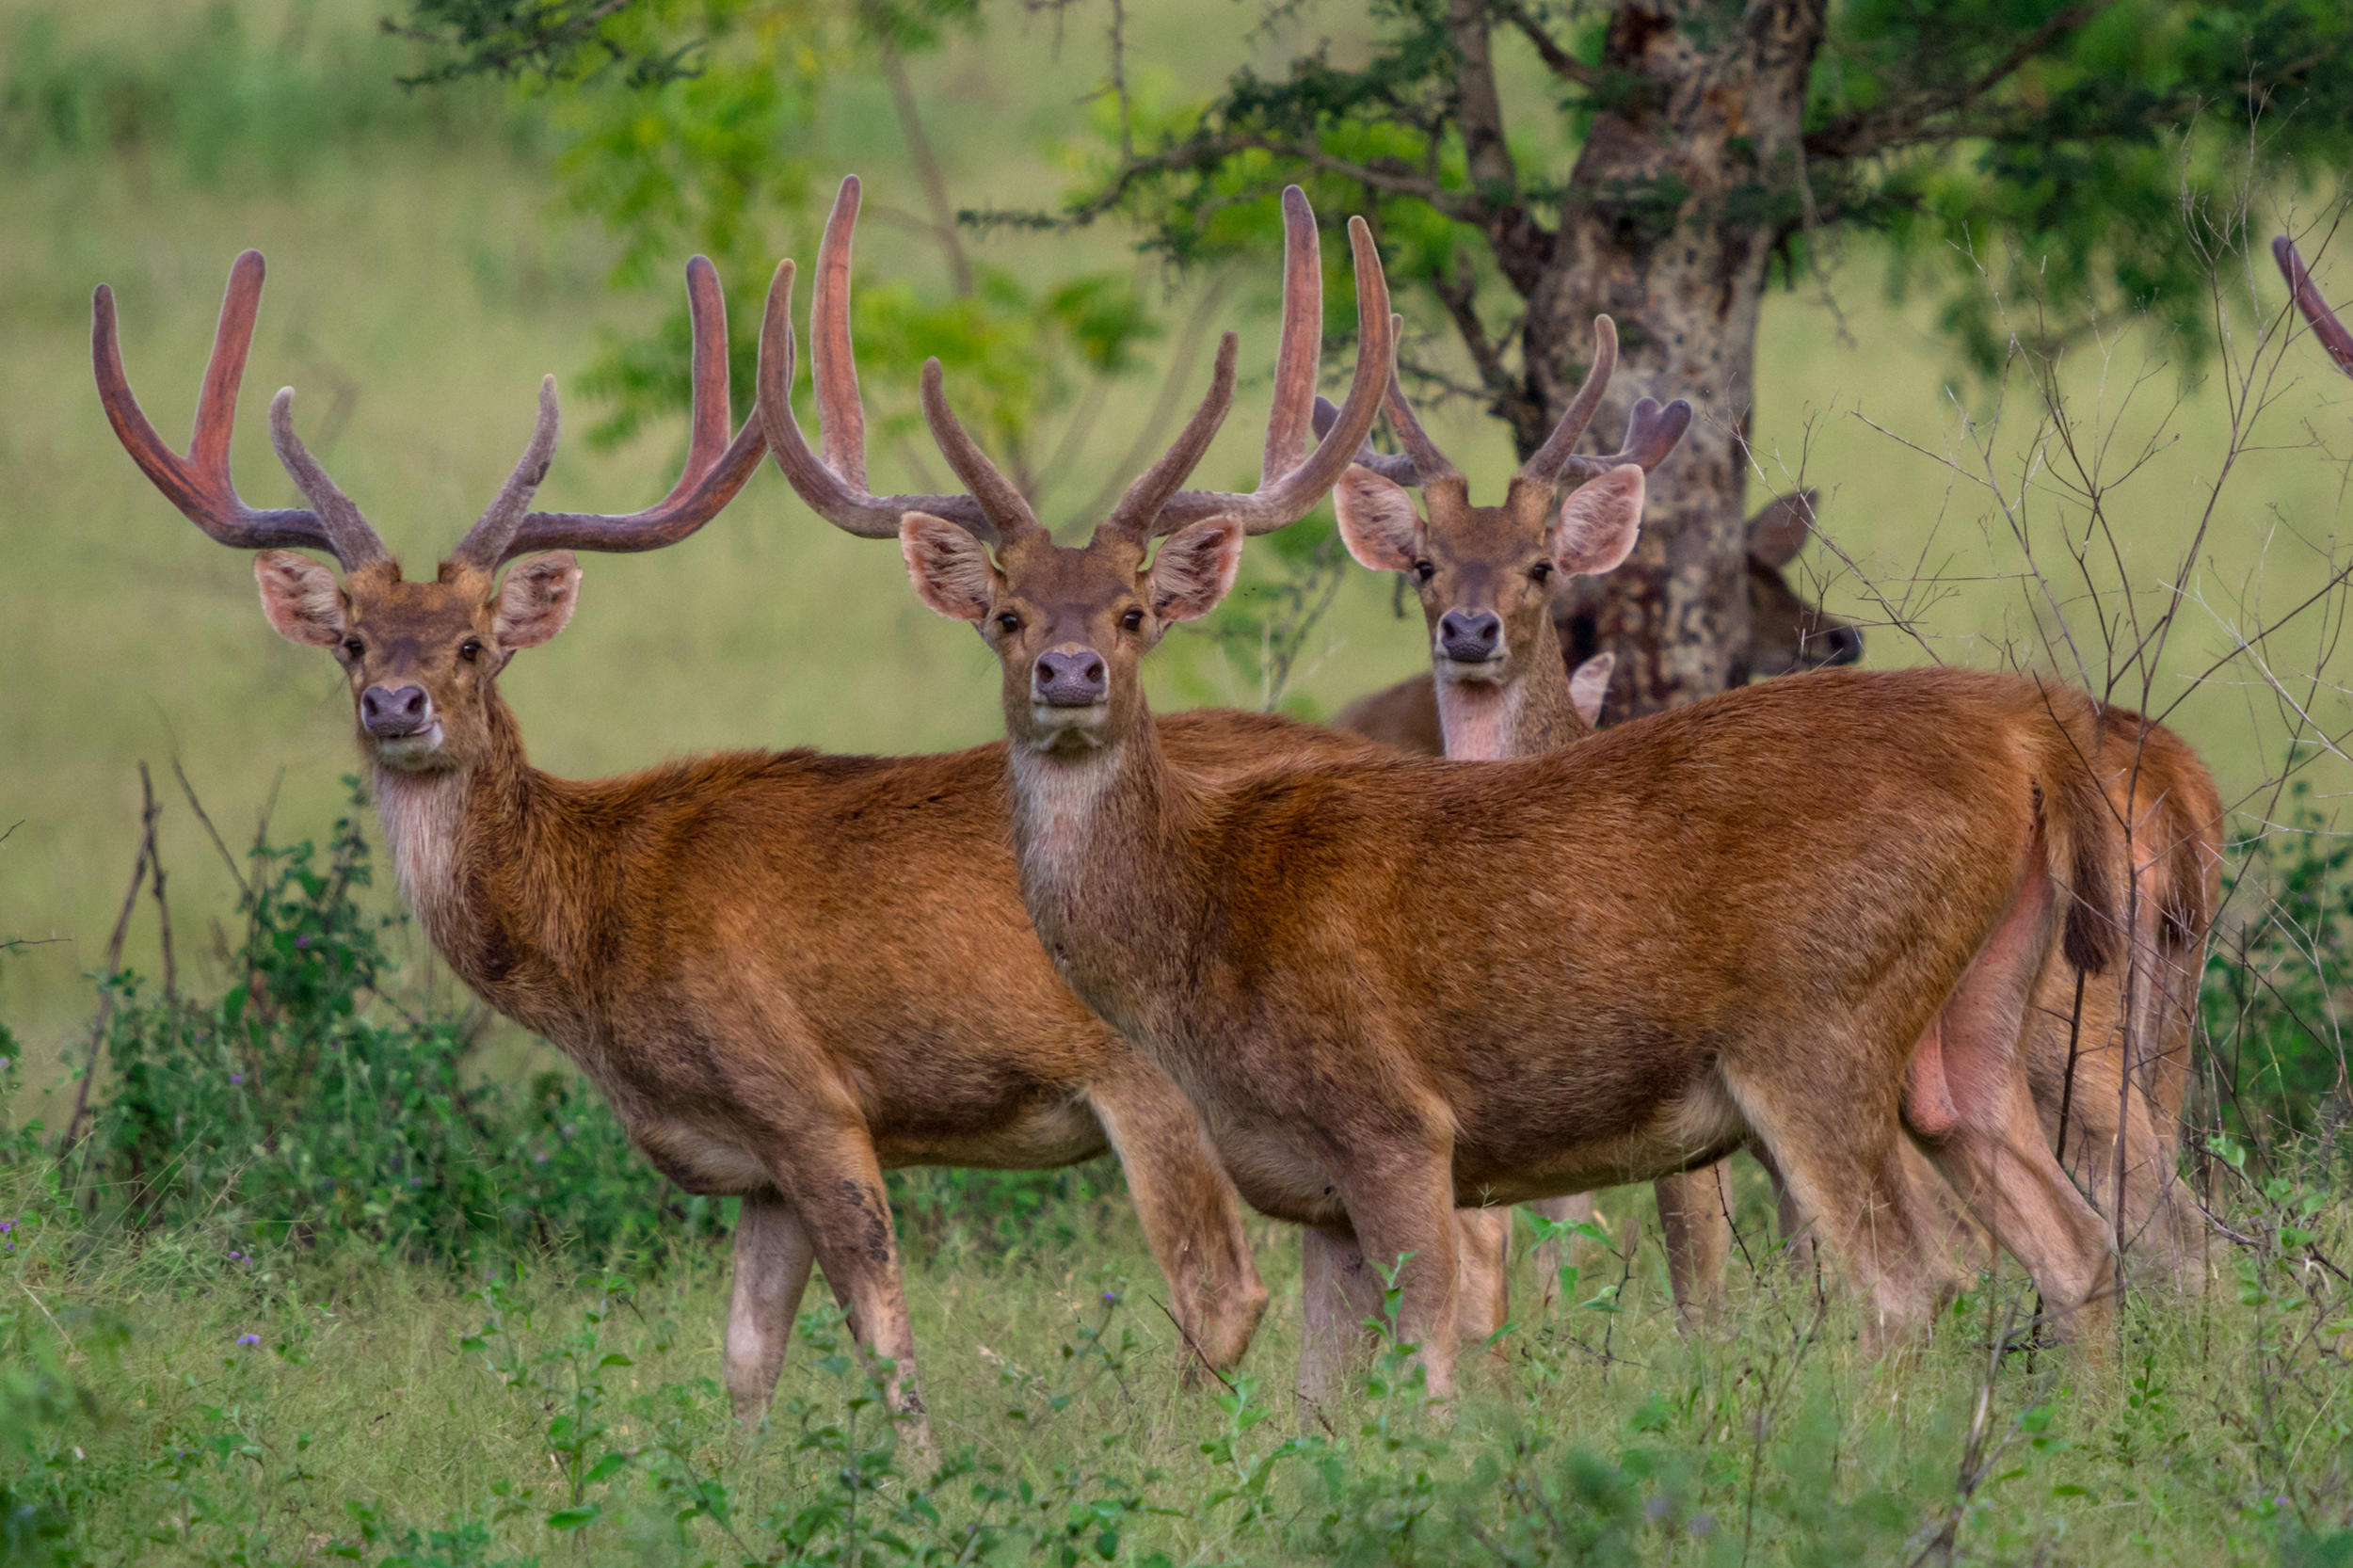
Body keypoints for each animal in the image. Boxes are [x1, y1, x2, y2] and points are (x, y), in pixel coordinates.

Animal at [91, 245, 1421, 1449]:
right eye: (354, 639)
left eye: (474, 642)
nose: (396, 705)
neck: (598, 920)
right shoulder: (757, 1163)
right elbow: (743, 1356)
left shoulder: (802, 1092)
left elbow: (881, 1333)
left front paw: (916, 1485)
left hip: (1151, 1079)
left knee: (1227, 1289)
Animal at [1327, 348, 2221, 1327]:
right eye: (1424, 563)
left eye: (1541, 565)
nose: (1469, 630)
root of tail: (2179, 784)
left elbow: (1695, 1269)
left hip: (2051, 1042)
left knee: (2134, 1230)